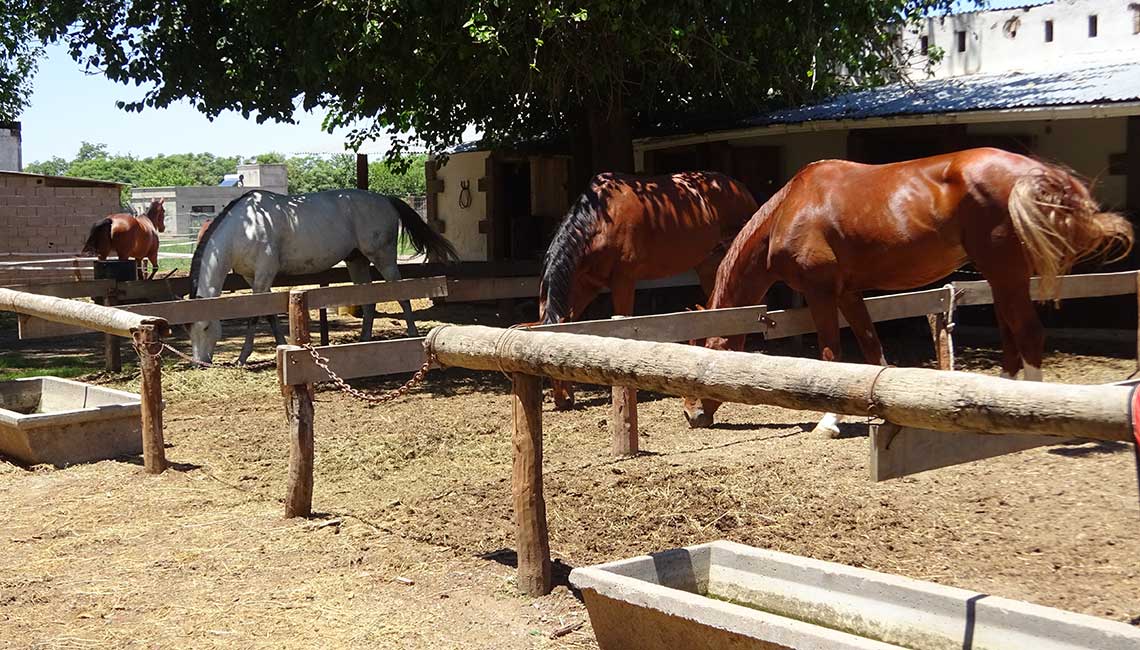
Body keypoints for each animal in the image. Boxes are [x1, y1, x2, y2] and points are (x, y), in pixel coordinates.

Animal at [540, 169, 761, 408]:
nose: (563, 400)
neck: (601, 219)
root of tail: (739, 186)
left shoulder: (624, 281)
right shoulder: (588, 285)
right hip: (709, 264)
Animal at [679, 145, 1135, 431]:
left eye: (708, 349)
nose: (690, 414)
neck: (791, 209)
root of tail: (1035, 173)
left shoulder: (821, 293)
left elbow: (831, 352)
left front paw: (829, 421)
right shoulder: (850, 294)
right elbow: (870, 350)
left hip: (1004, 271)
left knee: (1028, 332)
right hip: (1002, 275)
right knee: (1011, 332)